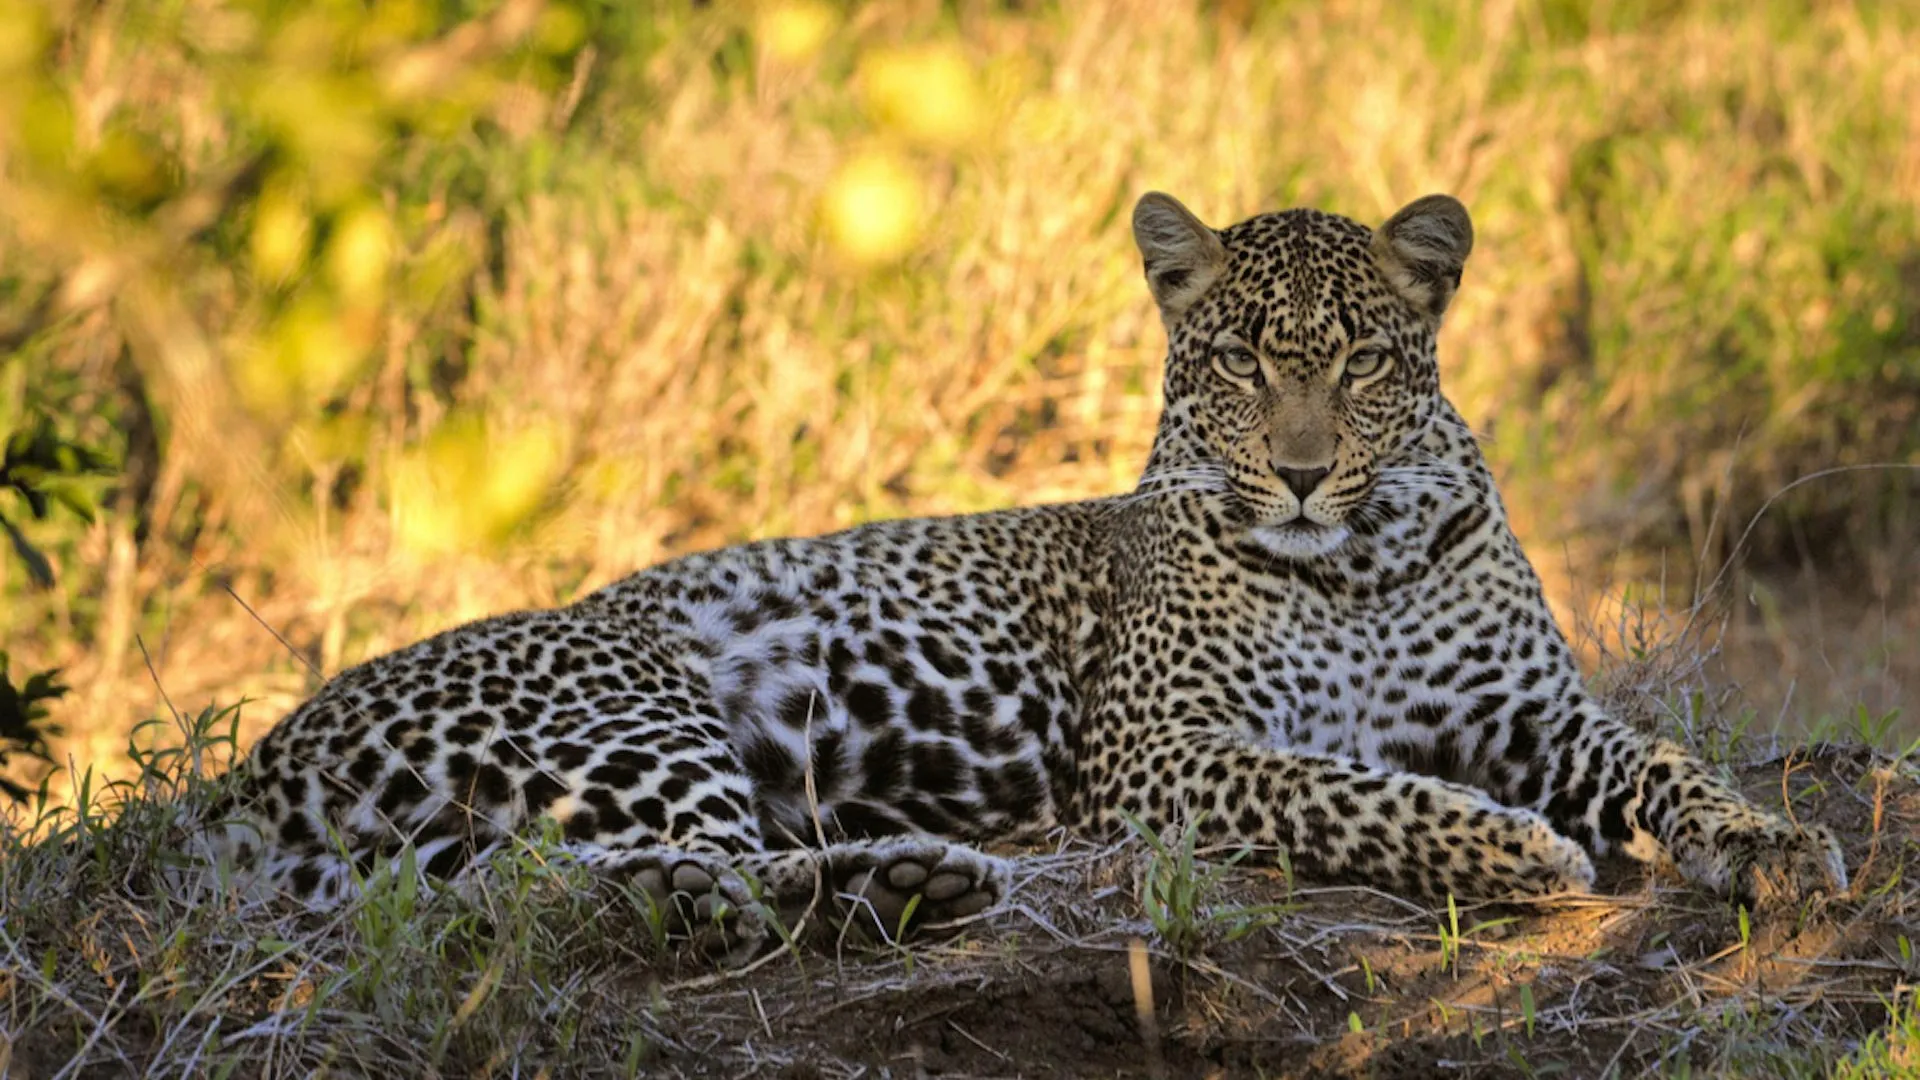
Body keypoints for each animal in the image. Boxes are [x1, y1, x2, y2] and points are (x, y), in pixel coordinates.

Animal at [194, 190, 1847, 951]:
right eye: (1237, 361)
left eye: (1363, 361)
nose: (1304, 472)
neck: (1361, 560)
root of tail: (246, 770)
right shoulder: (1158, 748)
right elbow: (1343, 789)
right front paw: (1513, 851)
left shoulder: (1539, 713)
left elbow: (1671, 769)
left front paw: (1775, 846)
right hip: (641, 703)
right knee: (653, 880)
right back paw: (897, 878)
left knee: (534, 890)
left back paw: (905, 878)